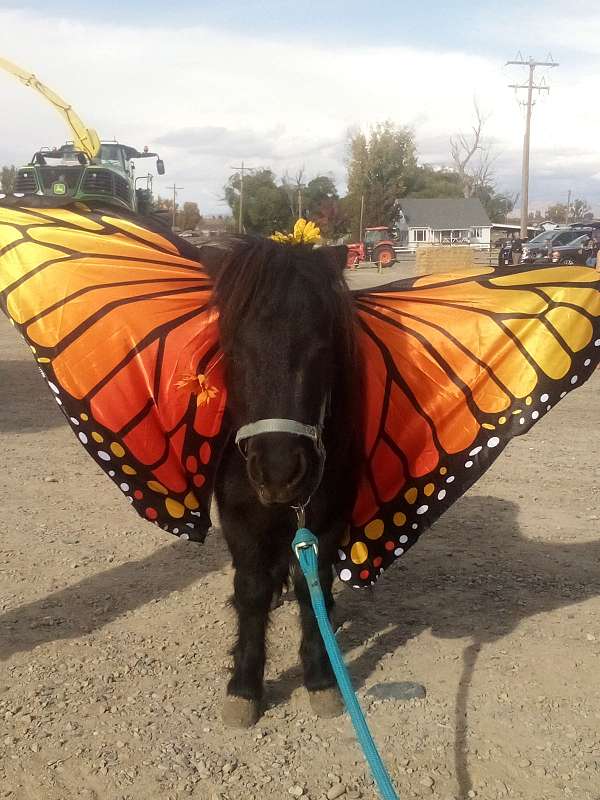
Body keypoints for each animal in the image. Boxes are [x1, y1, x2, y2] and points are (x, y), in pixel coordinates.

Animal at [201, 236, 363, 728]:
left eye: (321, 347)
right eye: (232, 347)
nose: (279, 473)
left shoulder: (327, 521)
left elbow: (315, 590)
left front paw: (321, 678)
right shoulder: (239, 520)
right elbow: (252, 590)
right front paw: (244, 687)